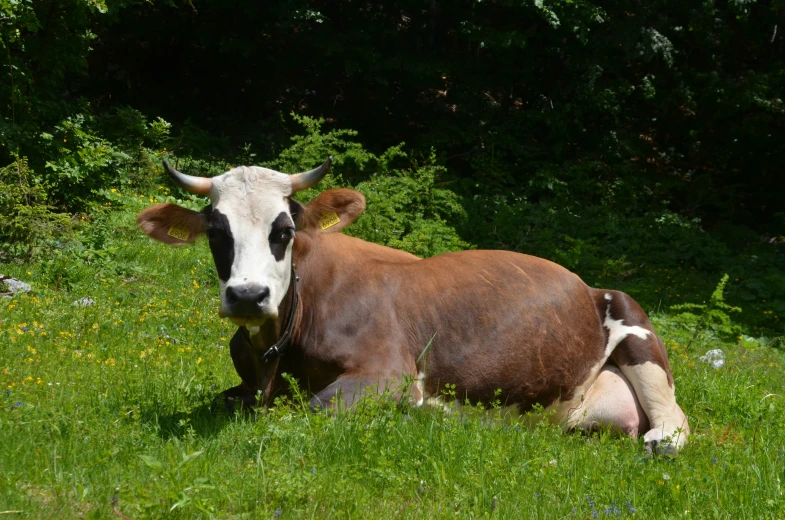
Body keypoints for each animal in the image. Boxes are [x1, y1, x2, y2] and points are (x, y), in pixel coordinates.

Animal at [138, 158, 688, 456]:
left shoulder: (388, 373)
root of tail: (584, 283)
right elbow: (225, 400)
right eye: (216, 232)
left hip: (633, 320)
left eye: (284, 230)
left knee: (674, 422)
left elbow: (315, 408)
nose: (248, 295)